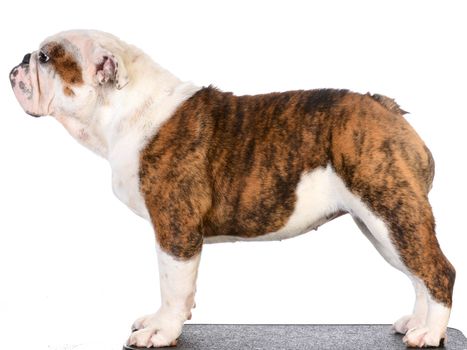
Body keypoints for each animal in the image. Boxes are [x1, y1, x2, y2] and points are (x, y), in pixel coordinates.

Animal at [10, 30, 458, 348]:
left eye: (46, 57)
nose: (21, 60)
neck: (122, 109)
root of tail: (384, 106)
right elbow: (180, 290)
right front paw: (163, 322)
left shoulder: (175, 228)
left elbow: (172, 285)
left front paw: (161, 331)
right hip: (382, 224)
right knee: (417, 274)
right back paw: (416, 323)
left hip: (391, 211)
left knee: (438, 270)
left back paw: (430, 334)